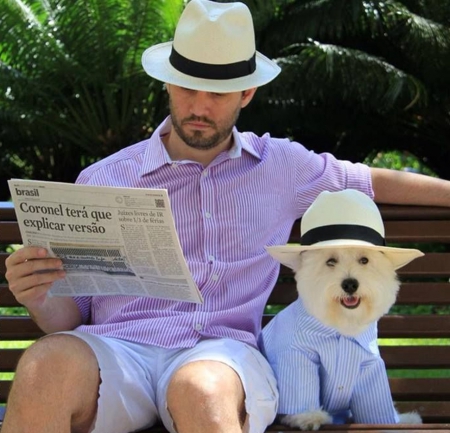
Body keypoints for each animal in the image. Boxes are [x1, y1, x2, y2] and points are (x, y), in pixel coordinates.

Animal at [260, 188, 426, 428]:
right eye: (330, 261)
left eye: (364, 260)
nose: (349, 284)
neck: (342, 325)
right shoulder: (297, 356)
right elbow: (302, 389)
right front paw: (309, 416)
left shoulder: (370, 365)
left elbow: (375, 404)